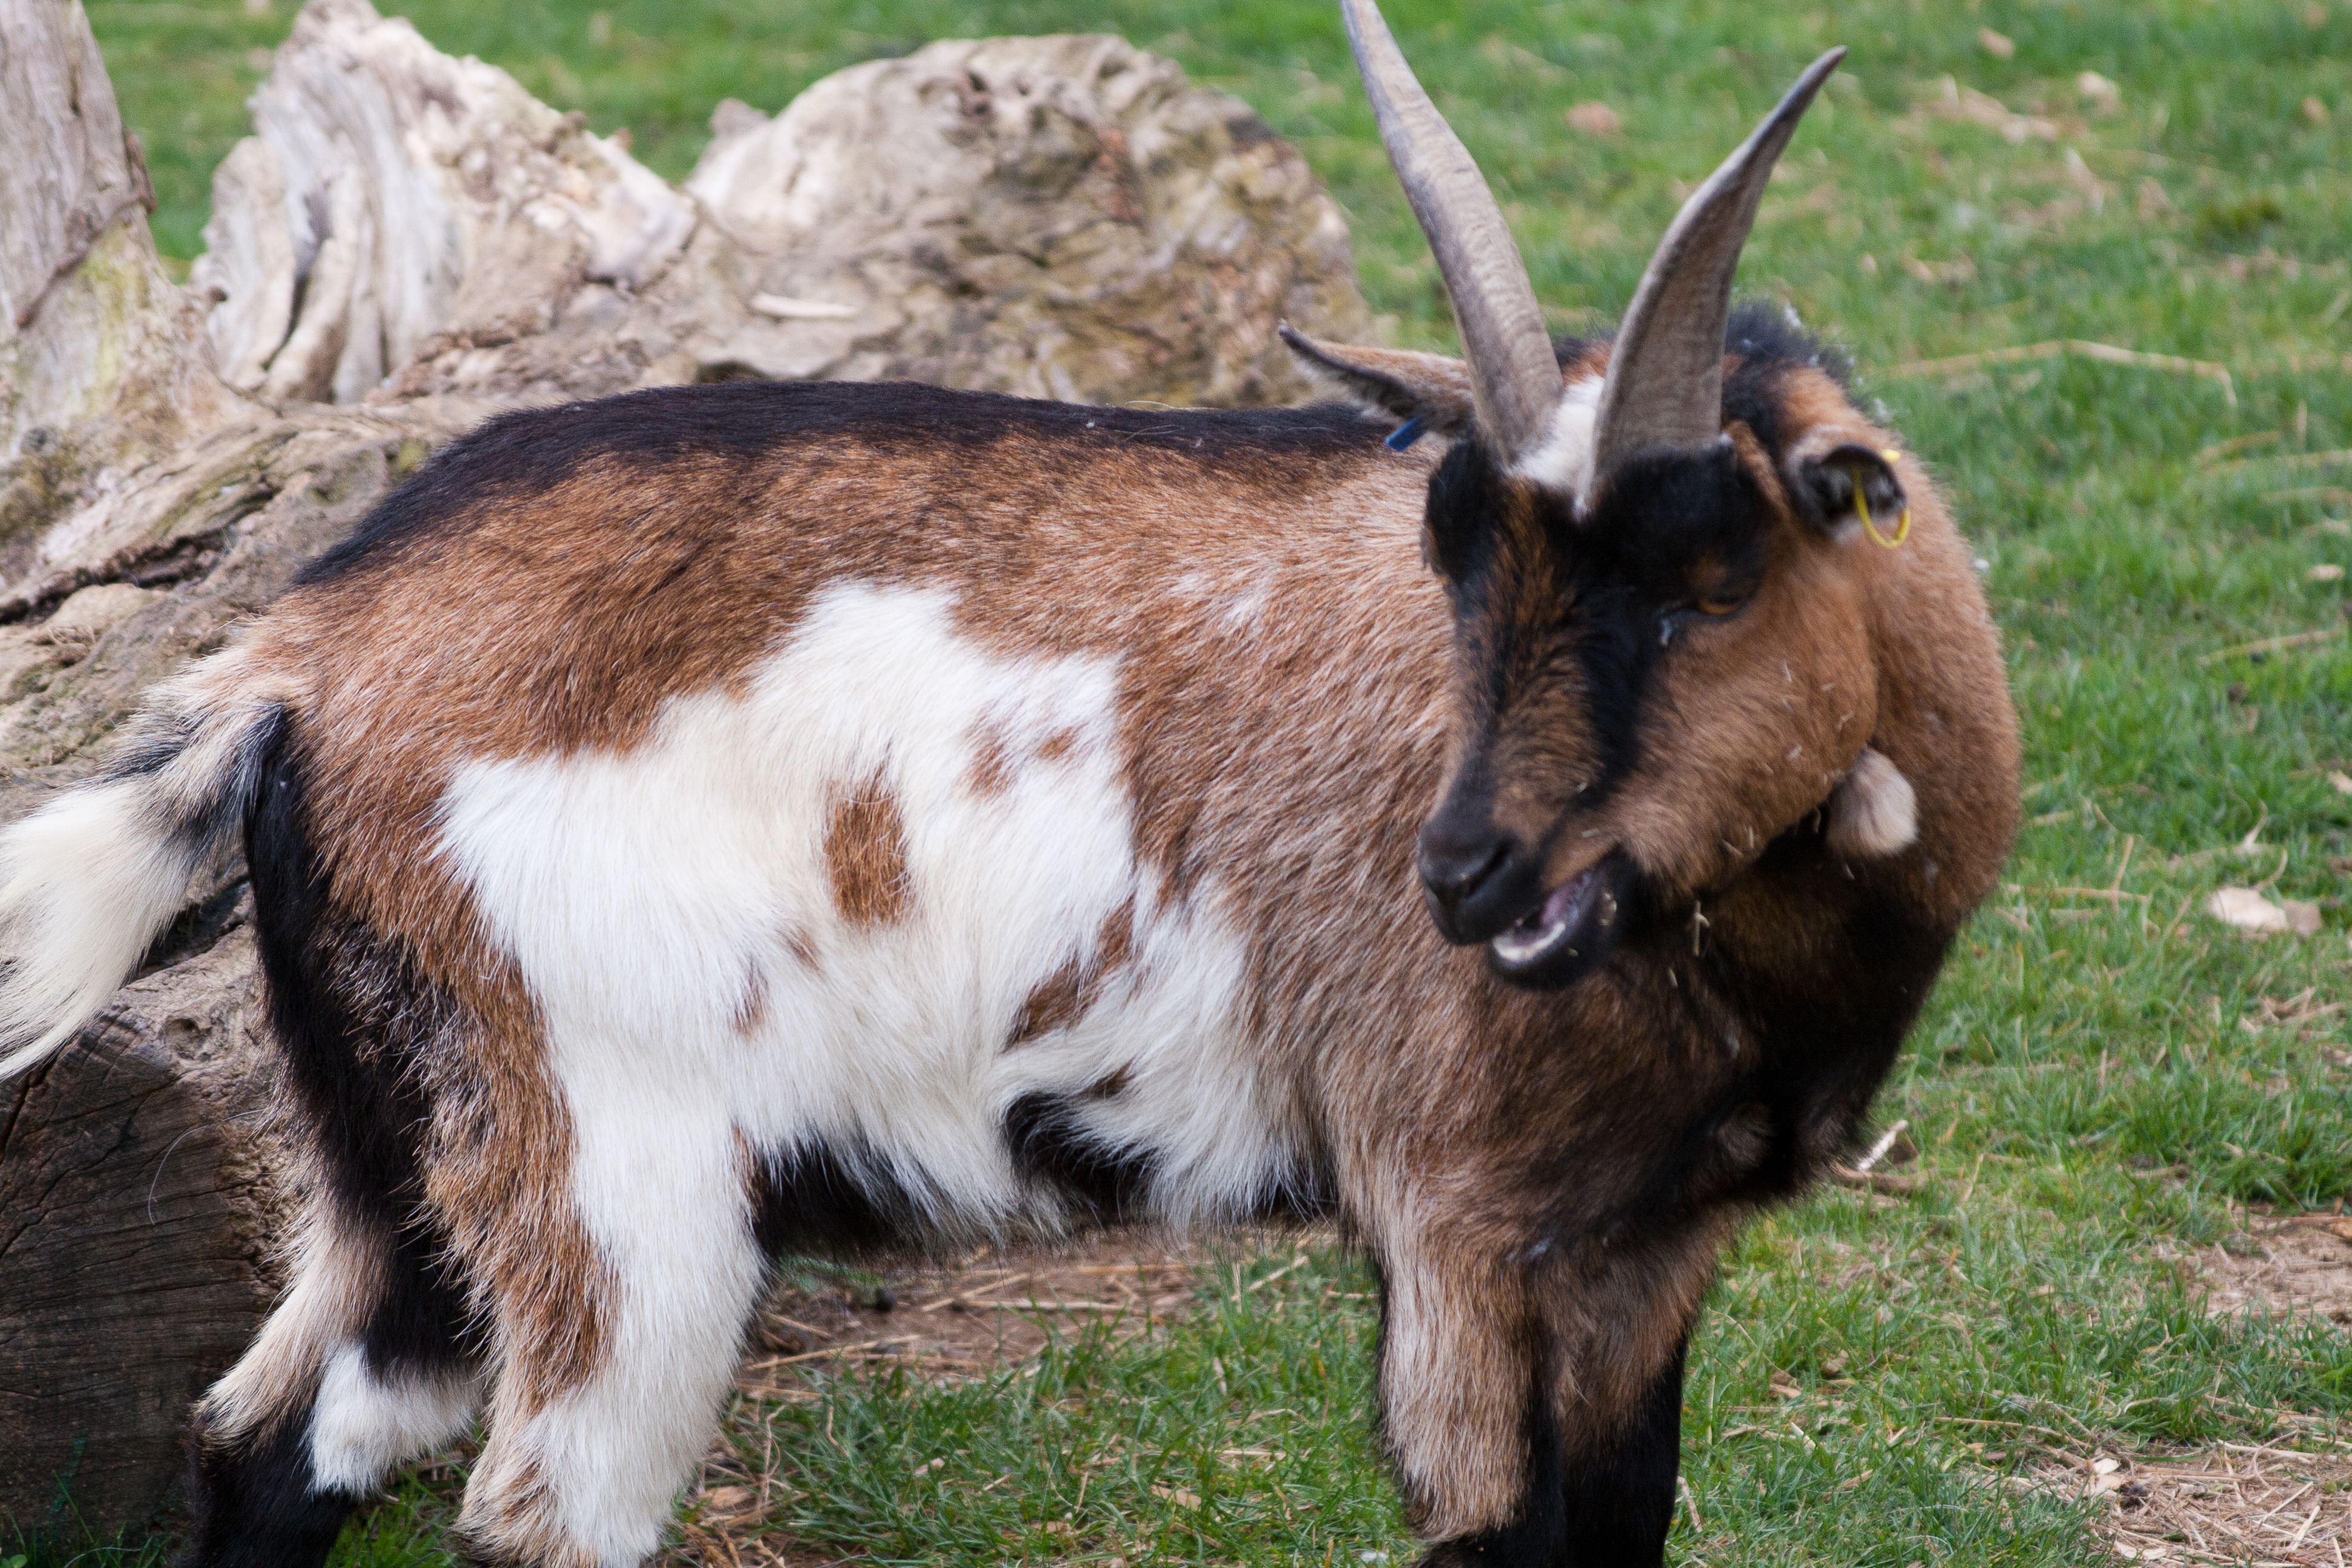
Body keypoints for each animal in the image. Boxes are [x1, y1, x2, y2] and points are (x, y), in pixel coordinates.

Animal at [0, 4, 2017, 1565]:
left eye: (1706, 582)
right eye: (1455, 548)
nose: (1465, 879)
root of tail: (301, 653)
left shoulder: (1649, 1251)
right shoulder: (1456, 1219)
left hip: (398, 1145)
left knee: (274, 1434)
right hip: (611, 1175)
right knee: (537, 1513)